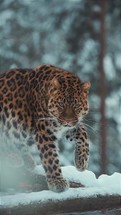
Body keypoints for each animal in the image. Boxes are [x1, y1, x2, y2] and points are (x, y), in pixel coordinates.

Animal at [0, 63, 91, 191]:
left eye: (77, 105)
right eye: (61, 104)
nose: (68, 121)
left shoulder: (68, 125)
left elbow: (83, 134)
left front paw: (81, 161)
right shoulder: (45, 130)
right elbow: (50, 156)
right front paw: (57, 181)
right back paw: (13, 157)